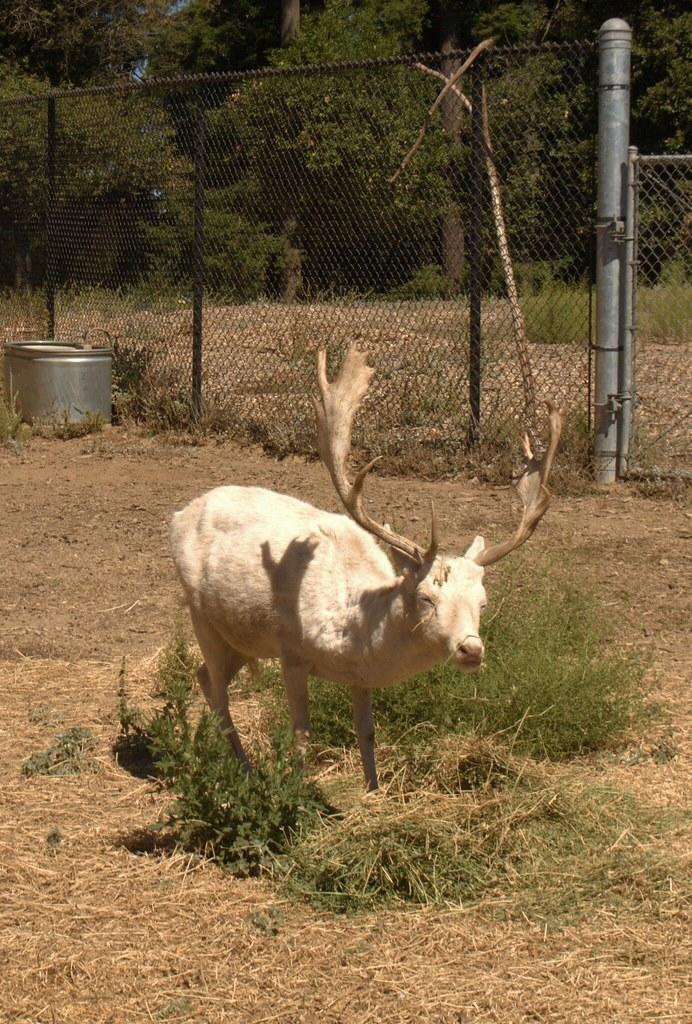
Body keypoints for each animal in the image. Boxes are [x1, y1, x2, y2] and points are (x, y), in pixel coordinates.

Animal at [170, 348, 561, 791]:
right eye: (426, 597)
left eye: (483, 601)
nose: (470, 650)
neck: (354, 628)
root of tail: (179, 515)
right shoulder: (291, 654)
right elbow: (302, 734)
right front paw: (297, 792)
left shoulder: (361, 676)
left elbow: (367, 731)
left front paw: (374, 790)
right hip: (202, 617)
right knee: (219, 692)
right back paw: (244, 769)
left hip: (240, 639)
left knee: (204, 676)